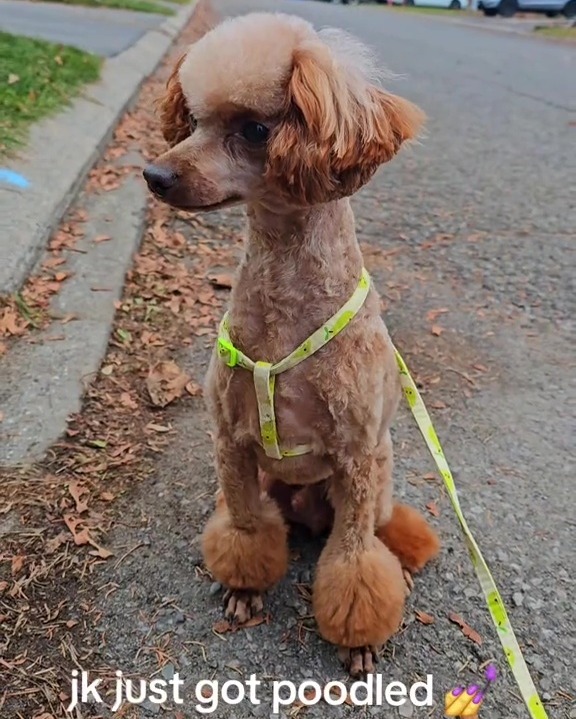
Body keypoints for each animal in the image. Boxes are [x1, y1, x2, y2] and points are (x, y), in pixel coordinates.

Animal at [142, 8, 438, 676]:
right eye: (193, 120)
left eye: (255, 129)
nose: (155, 174)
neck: (285, 310)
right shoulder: (231, 443)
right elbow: (246, 529)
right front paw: (245, 587)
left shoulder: (356, 457)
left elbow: (354, 562)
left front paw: (359, 638)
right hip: (275, 482)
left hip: (378, 480)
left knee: (379, 529)